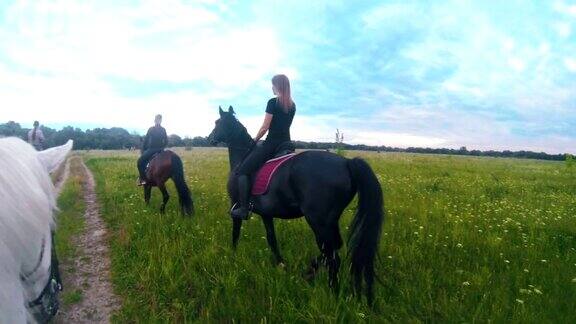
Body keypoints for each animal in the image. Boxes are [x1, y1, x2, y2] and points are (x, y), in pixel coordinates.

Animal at [209, 106, 384, 304]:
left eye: (218, 122)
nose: (209, 138)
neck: (242, 158)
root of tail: (346, 163)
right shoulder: (266, 213)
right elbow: (272, 239)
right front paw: (280, 263)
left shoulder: (236, 204)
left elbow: (236, 232)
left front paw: (232, 254)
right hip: (330, 221)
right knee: (333, 249)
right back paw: (310, 273)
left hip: (317, 220)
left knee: (332, 255)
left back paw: (330, 290)